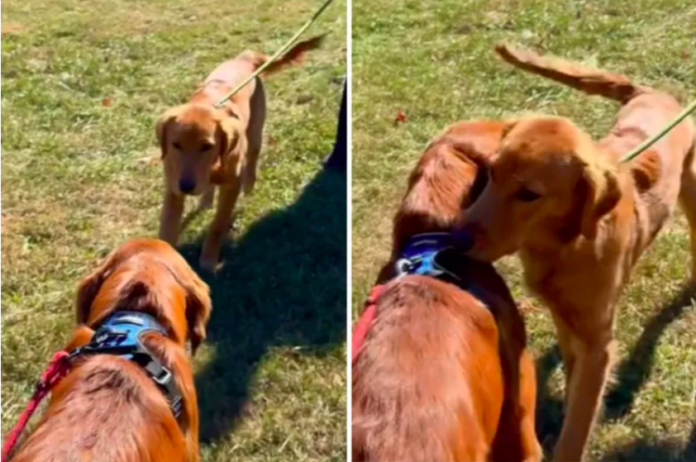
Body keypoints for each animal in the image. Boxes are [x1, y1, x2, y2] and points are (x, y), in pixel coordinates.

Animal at [156, 37, 322, 270]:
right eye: (175, 145)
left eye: (207, 146)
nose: (187, 187)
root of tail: (245, 58)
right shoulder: (173, 188)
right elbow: (167, 228)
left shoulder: (231, 186)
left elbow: (218, 224)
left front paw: (208, 260)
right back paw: (206, 200)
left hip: (255, 134)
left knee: (252, 161)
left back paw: (249, 186)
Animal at [454, 45, 696, 460]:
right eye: (491, 172)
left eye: (529, 194)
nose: (454, 237)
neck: (563, 247)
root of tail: (653, 94)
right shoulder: (565, 320)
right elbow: (571, 376)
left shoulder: (598, 345)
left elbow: (578, 426)